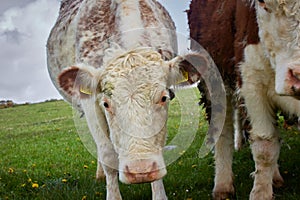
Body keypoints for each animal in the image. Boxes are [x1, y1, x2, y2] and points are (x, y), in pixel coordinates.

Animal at [188, 0, 300, 199]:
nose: (298, 75)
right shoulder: (252, 83)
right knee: (222, 132)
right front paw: (260, 193)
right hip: (215, 80)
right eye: (263, 4)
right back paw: (222, 185)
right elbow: (264, 146)